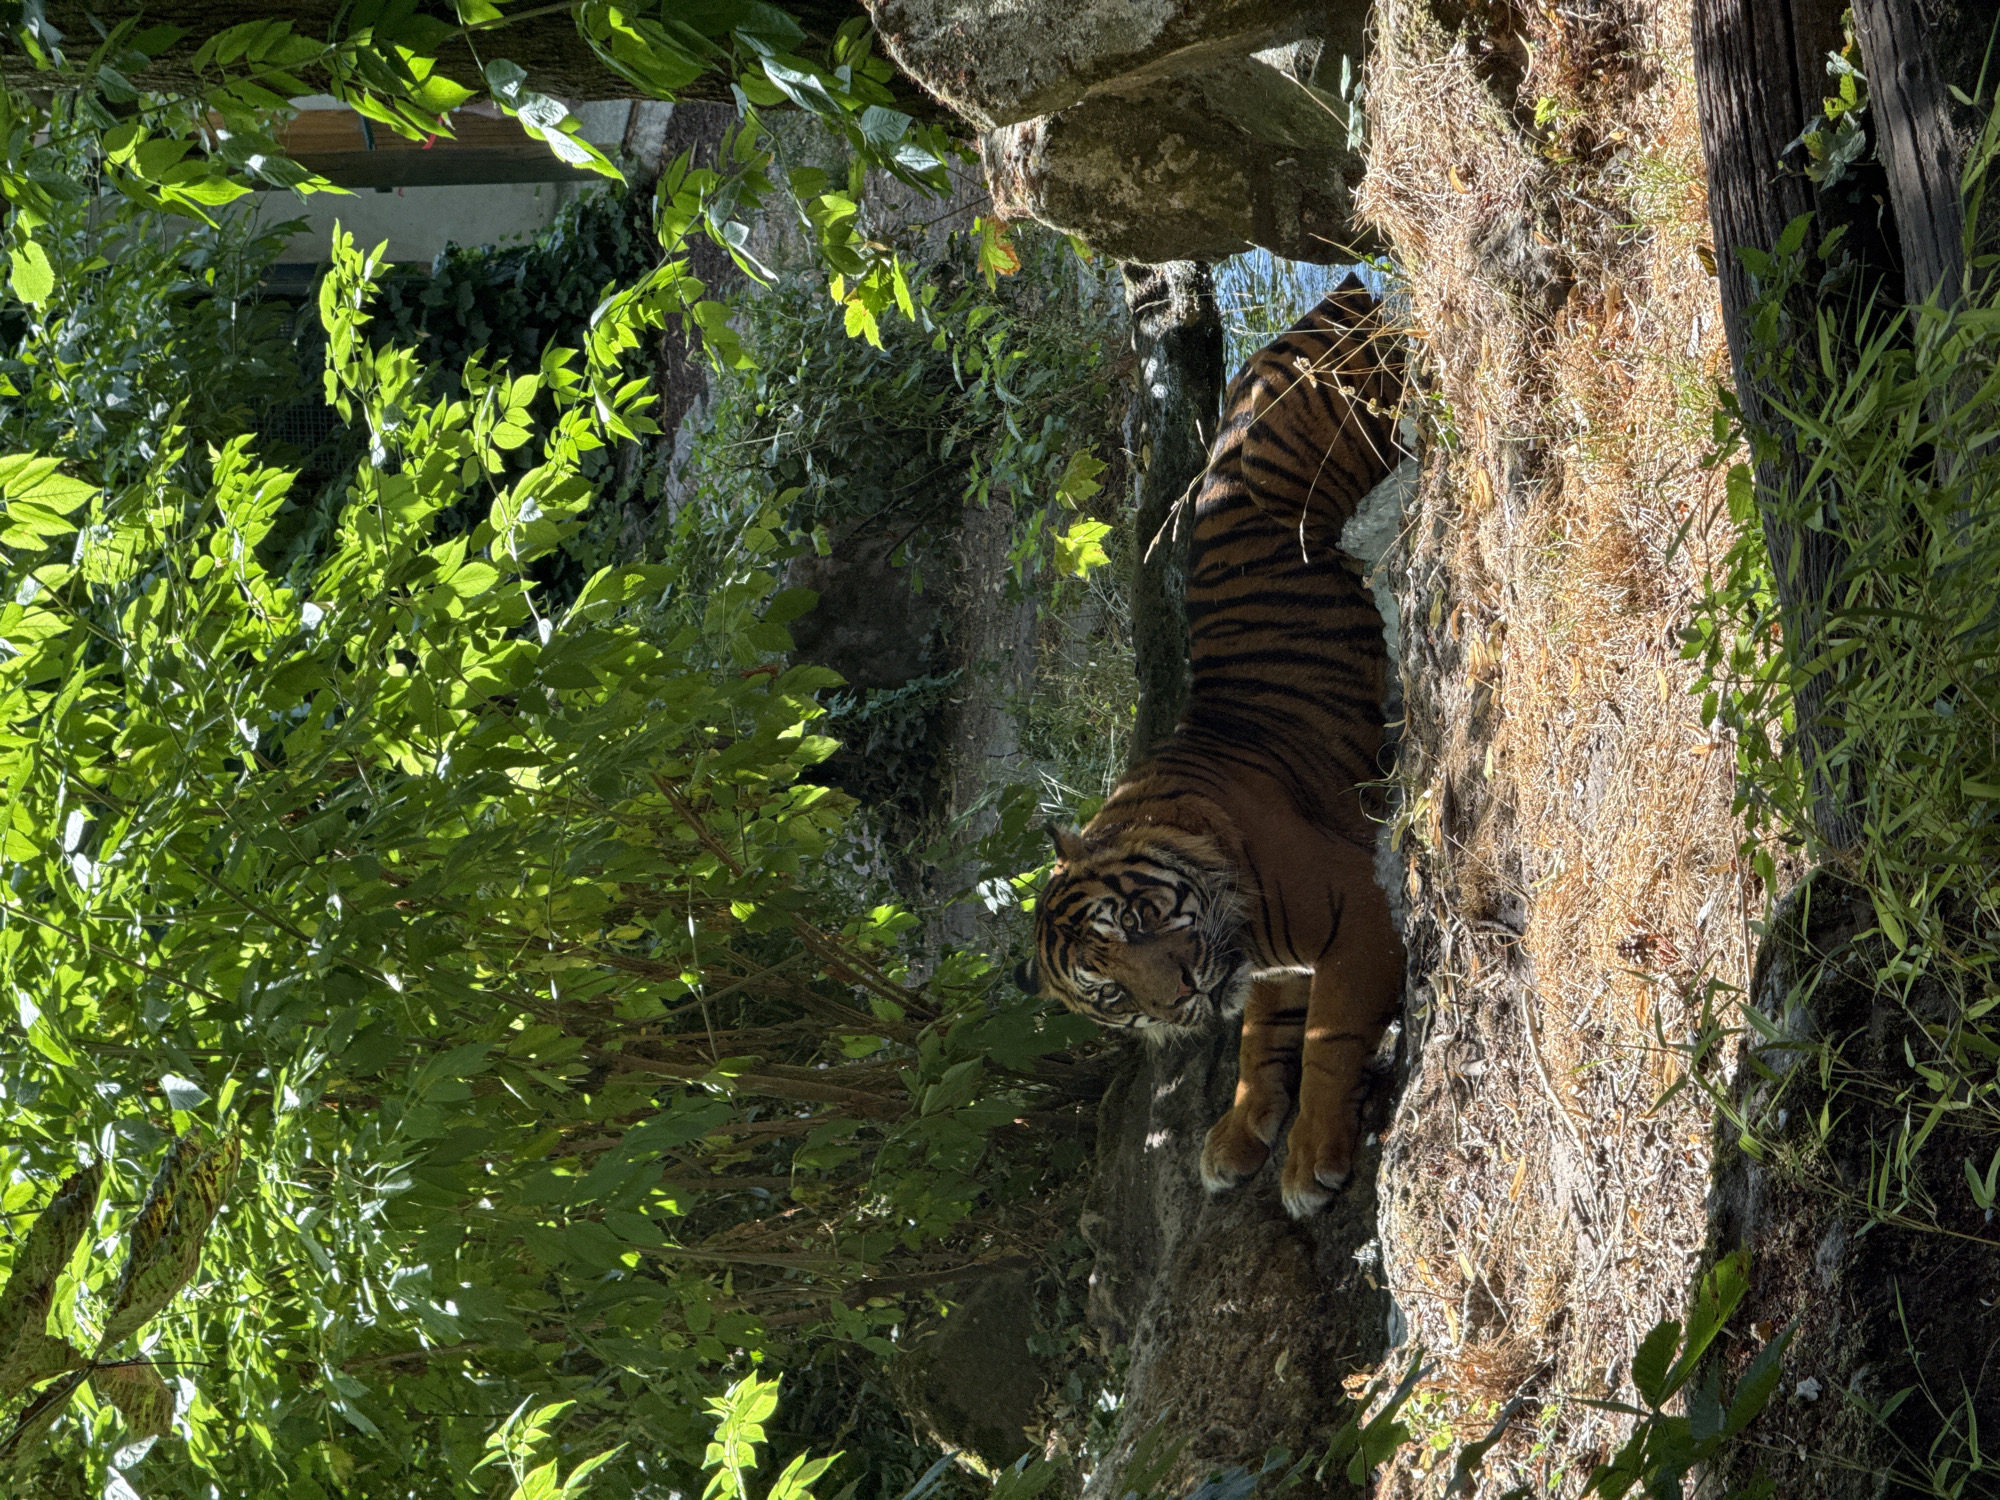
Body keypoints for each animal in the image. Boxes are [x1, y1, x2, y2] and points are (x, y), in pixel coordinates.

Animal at [1018, 276, 1406, 1219]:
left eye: (1139, 920)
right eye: (1108, 990)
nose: (1184, 994)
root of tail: (1330, 300)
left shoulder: (1360, 908)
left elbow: (1329, 1035)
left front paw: (1309, 1164)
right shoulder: (1274, 964)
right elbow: (1263, 1040)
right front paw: (1236, 1137)